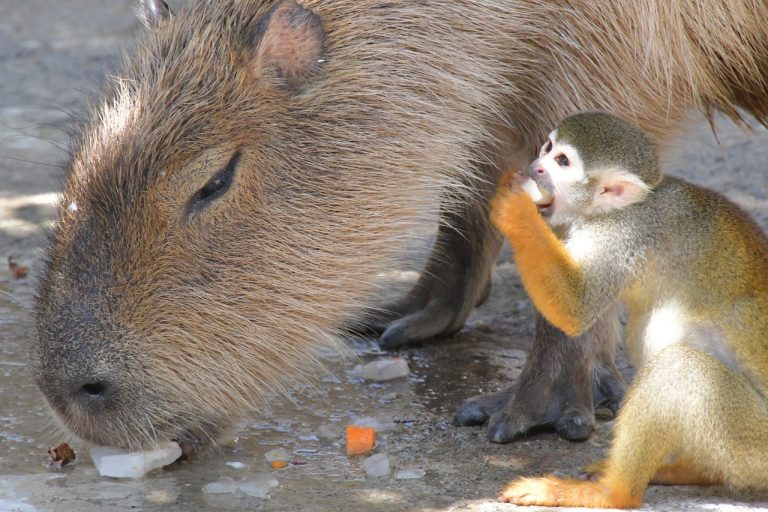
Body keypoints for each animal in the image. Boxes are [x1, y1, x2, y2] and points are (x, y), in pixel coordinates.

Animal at [488, 112, 768, 508]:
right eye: (548, 147)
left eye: (562, 162)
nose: (536, 167)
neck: (621, 208)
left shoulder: (623, 235)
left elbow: (576, 306)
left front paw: (516, 207)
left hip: (755, 443)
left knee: (680, 366)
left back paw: (611, 492)